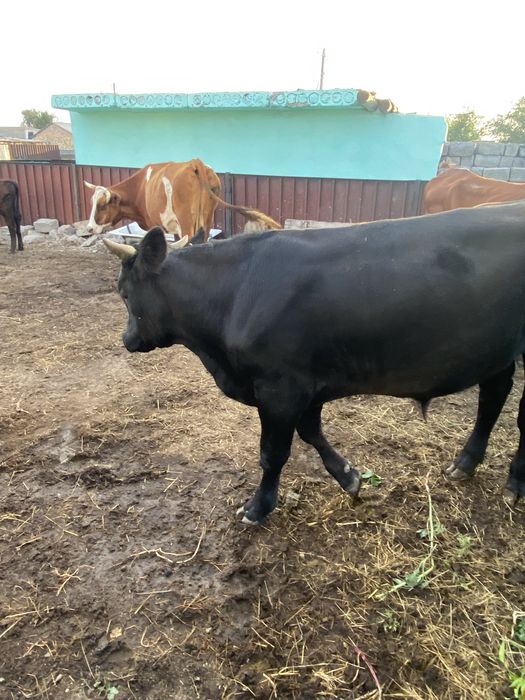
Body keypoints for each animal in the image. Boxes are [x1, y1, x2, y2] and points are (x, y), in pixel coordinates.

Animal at [84, 159, 280, 242]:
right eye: (92, 203)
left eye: (101, 205)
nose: (89, 228)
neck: (140, 188)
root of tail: (195, 163)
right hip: (206, 218)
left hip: (187, 221)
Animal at [104, 201, 525, 524]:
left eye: (124, 293)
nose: (126, 340)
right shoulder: (304, 386)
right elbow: (310, 432)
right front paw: (349, 477)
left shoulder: (278, 387)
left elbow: (273, 453)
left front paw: (258, 507)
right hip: (496, 350)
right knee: (493, 396)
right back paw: (465, 463)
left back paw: (514, 483)